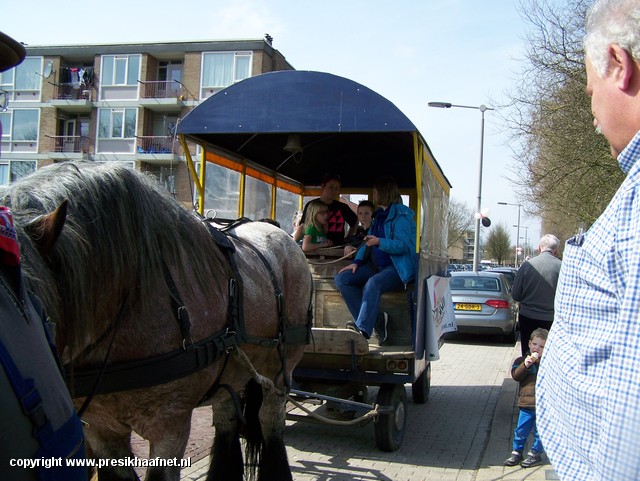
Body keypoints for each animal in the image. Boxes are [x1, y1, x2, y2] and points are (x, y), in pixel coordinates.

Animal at [1, 162, 312, 480]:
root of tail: (277, 232)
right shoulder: (100, 426)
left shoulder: (170, 422)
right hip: (232, 368)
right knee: (227, 419)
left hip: (279, 372)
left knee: (269, 422)